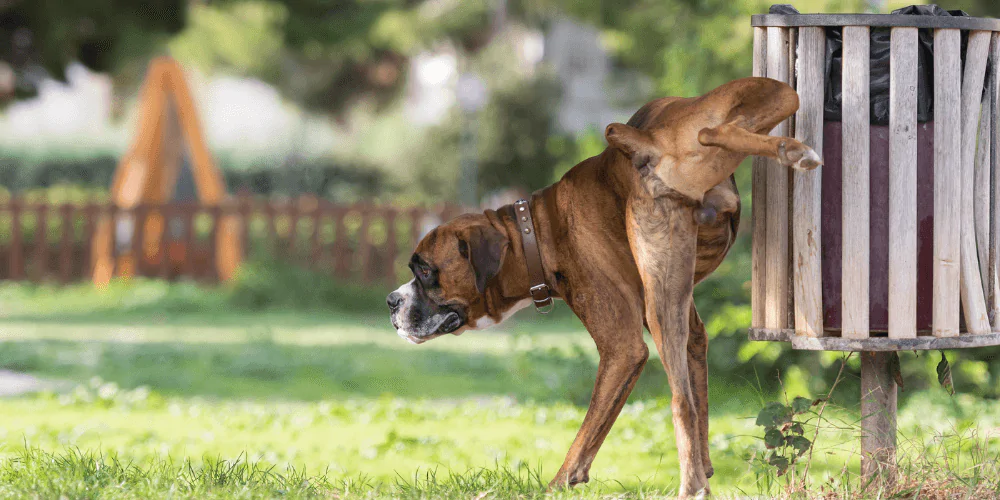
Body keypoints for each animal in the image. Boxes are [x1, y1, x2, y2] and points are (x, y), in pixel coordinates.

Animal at [386, 77, 816, 496]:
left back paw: (689, 487)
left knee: (680, 403)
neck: (536, 232)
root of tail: (648, 140)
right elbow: (701, 400)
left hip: (659, 306)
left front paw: (559, 483)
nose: (391, 301)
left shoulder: (622, 349)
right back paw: (791, 150)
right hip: (770, 96)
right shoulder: (691, 330)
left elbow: (589, 430)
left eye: (425, 271)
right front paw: (706, 468)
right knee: (719, 129)